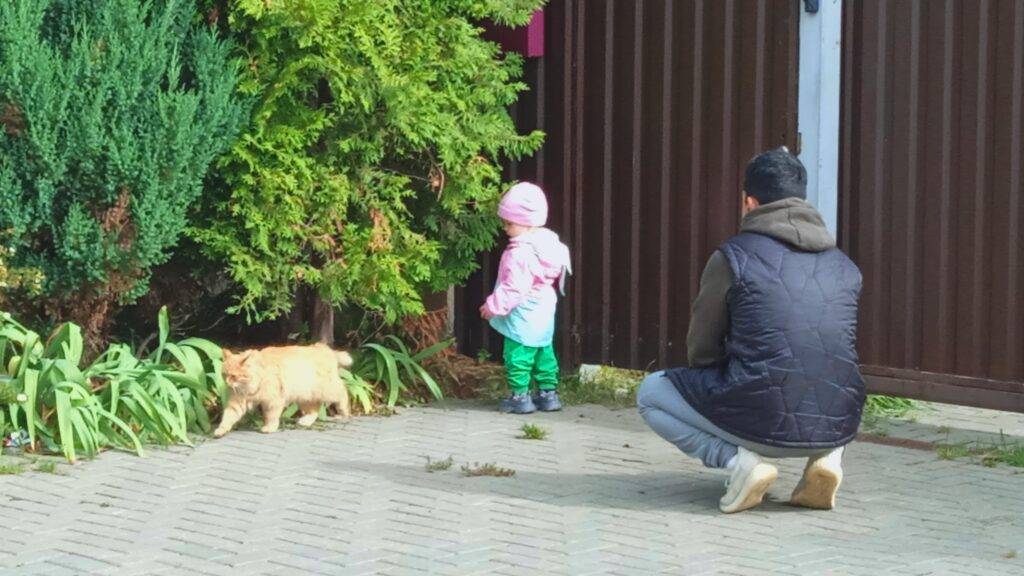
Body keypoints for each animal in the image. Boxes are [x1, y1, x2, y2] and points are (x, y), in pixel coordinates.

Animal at [214, 340, 354, 434]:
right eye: (224, 374)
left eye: (233, 376)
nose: (227, 383)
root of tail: (323, 348)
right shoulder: (237, 403)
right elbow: (227, 417)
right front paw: (221, 430)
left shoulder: (273, 401)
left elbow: (271, 416)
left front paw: (270, 428)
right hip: (305, 397)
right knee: (315, 410)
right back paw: (306, 421)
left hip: (327, 390)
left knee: (343, 390)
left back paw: (344, 413)